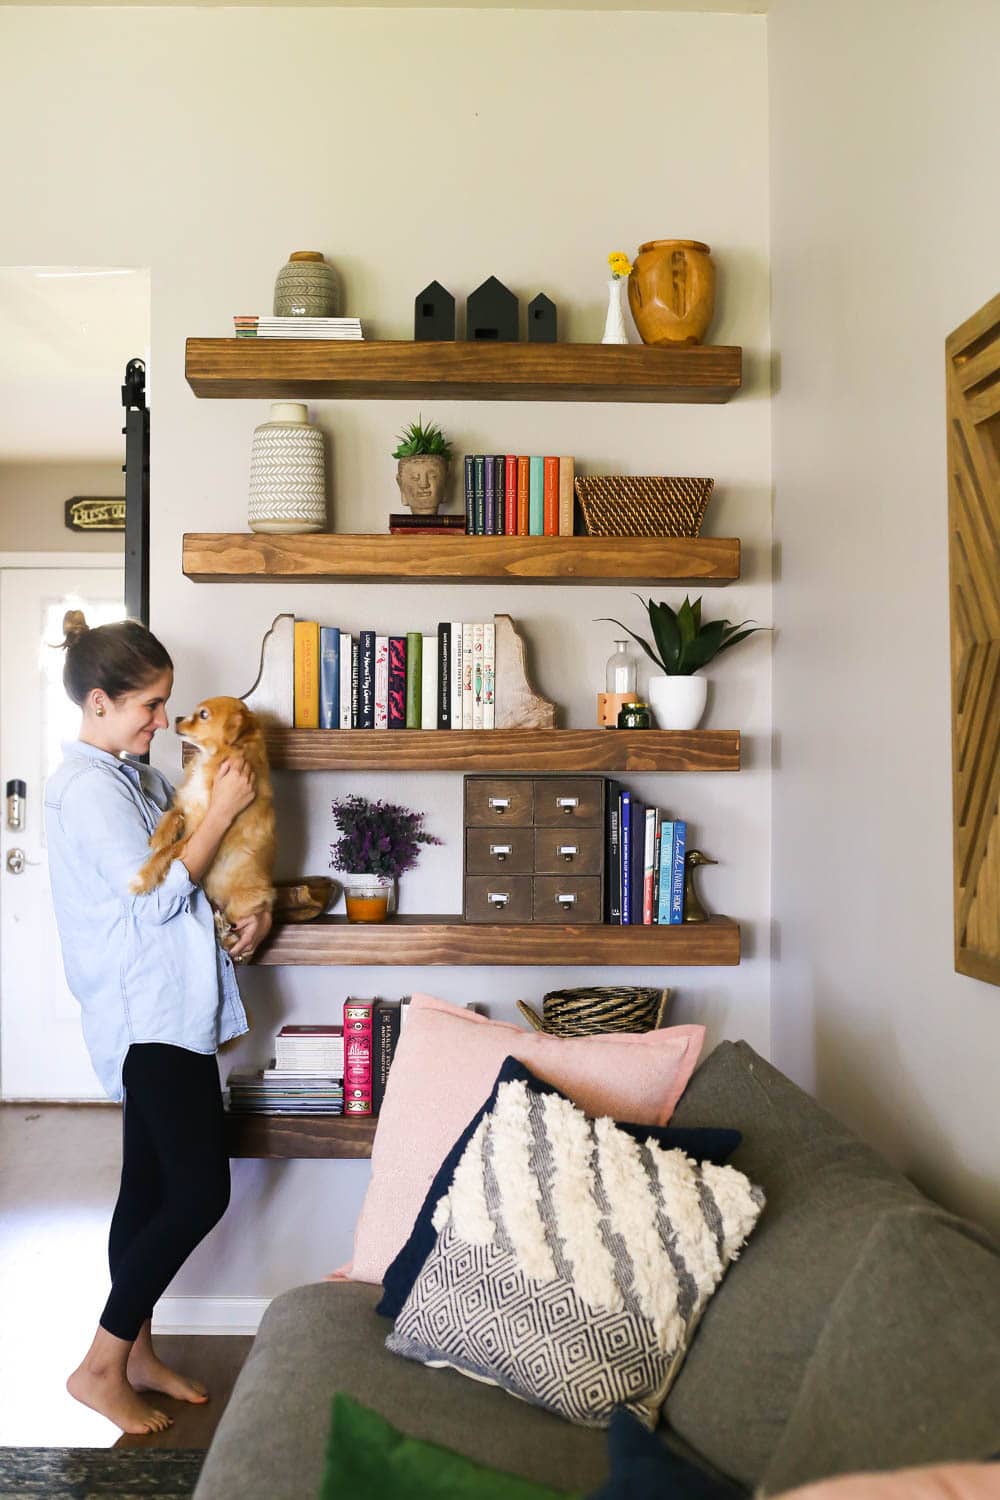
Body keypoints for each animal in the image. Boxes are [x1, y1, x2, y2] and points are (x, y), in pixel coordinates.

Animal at [131, 696, 277, 942]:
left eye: (203, 715)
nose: (177, 718)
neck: (211, 759)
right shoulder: (186, 804)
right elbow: (172, 814)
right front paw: (160, 836)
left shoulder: (198, 831)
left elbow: (167, 852)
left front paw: (143, 878)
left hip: (242, 905)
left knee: (233, 934)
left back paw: (223, 928)